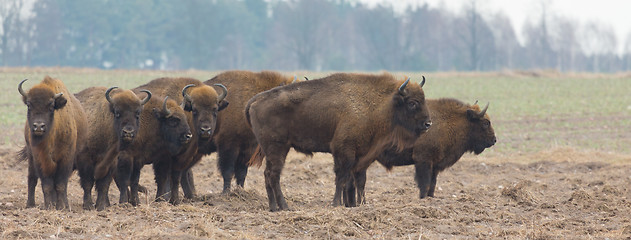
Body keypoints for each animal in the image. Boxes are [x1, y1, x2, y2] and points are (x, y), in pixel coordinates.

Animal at [17, 77, 88, 210]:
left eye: (51, 106)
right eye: (29, 105)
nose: (38, 126)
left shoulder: (66, 158)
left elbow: (61, 184)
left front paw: (63, 206)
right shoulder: (40, 159)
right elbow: (47, 185)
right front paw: (49, 206)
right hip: (30, 156)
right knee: (32, 178)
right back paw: (30, 204)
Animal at [247, 72, 434, 210]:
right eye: (412, 103)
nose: (428, 124)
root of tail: (256, 99)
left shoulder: (361, 156)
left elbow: (356, 181)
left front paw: (355, 204)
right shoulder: (344, 152)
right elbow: (341, 178)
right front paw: (337, 204)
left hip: (272, 150)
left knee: (268, 175)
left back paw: (273, 207)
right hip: (278, 148)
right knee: (274, 175)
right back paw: (285, 207)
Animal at [360, 98, 498, 201]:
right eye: (485, 123)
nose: (494, 140)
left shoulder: (435, 164)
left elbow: (433, 183)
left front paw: (431, 197)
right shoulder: (424, 161)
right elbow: (425, 183)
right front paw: (423, 198)